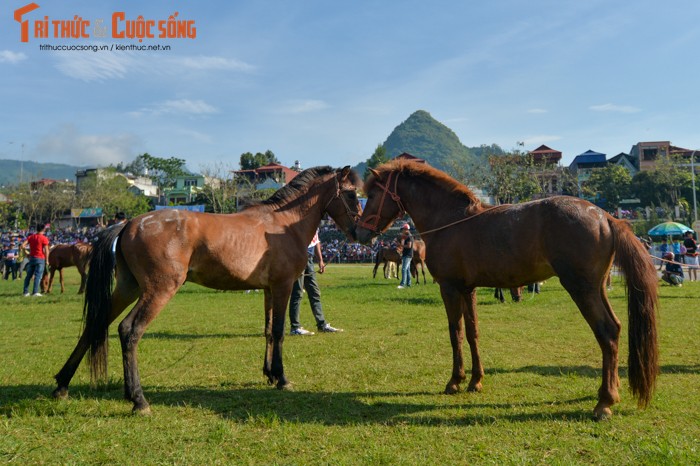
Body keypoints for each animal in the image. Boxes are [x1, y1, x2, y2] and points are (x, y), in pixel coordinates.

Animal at [52, 167, 364, 416]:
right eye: (351, 195)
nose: (362, 233)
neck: (283, 223)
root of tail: (130, 222)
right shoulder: (283, 286)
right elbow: (278, 332)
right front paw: (282, 378)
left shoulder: (268, 289)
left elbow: (266, 331)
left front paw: (269, 375)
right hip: (159, 290)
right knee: (129, 330)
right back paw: (138, 400)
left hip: (128, 289)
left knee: (95, 324)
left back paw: (62, 384)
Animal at [358, 158, 660, 420]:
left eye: (372, 195)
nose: (359, 233)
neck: (450, 220)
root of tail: (606, 217)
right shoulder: (468, 290)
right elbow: (472, 333)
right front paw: (475, 380)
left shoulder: (450, 288)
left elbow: (455, 334)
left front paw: (455, 380)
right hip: (597, 288)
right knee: (616, 328)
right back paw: (612, 392)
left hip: (581, 289)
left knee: (606, 332)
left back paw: (604, 402)